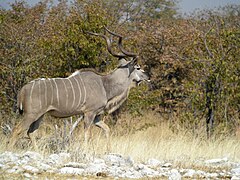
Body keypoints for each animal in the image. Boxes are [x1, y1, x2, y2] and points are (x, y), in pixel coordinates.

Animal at [8, 28, 150, 149]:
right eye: (138, 67)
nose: (148, 76)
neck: (105, 84)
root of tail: (23, 89)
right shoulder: (89, 113)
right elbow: (87, 134)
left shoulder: (96, 116)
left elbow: (107, 129)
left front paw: (108, 150)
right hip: (31, 114)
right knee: (17, 130)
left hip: (40, 115)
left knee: (31, 132)